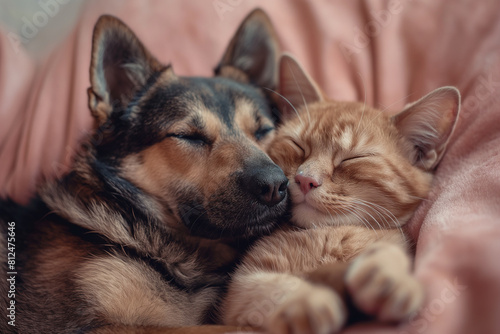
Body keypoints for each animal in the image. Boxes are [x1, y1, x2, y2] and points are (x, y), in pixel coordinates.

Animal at [223, 55, 460, 334]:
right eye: (297, 146)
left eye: (352, 158)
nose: (305, 179)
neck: (326, 235)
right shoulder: (243, 285)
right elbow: (272, 287)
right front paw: (306, 300)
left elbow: (390, 253)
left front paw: (389, 274)